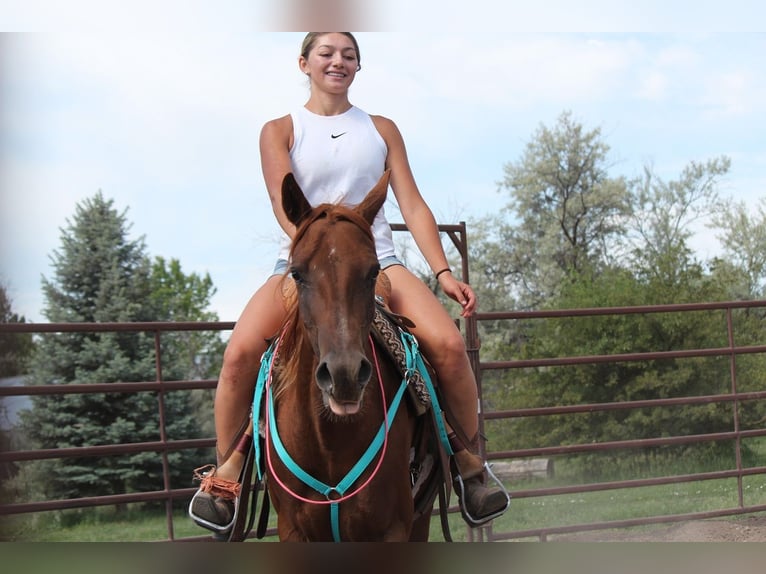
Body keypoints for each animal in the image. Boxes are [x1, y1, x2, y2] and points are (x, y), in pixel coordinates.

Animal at [255, 170, 443, 542]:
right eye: (297, 273)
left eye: (373, 272)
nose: (345, 376)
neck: (330, 441)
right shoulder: (292, 530)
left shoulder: (393, 528)